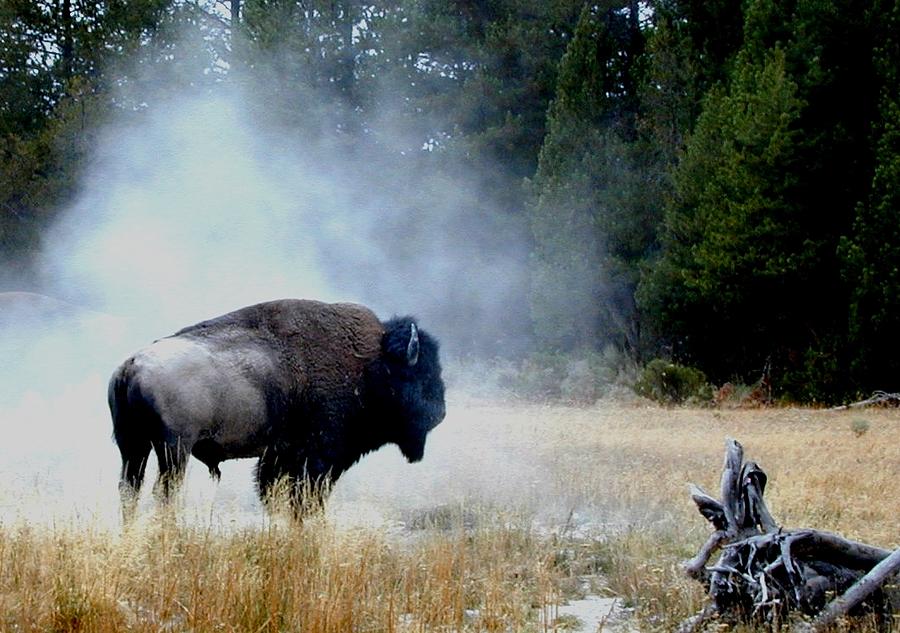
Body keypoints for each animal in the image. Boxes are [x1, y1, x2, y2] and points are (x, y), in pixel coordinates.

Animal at [108, 299, 446, 518]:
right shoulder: (317, 458)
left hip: (133, 446)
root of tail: (131, 366)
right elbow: (304, 500)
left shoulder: (279, 457)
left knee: (130, 490)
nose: (440, 412)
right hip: (174, 449)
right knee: (164, 493)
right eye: (423, 373)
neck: (370, 364)